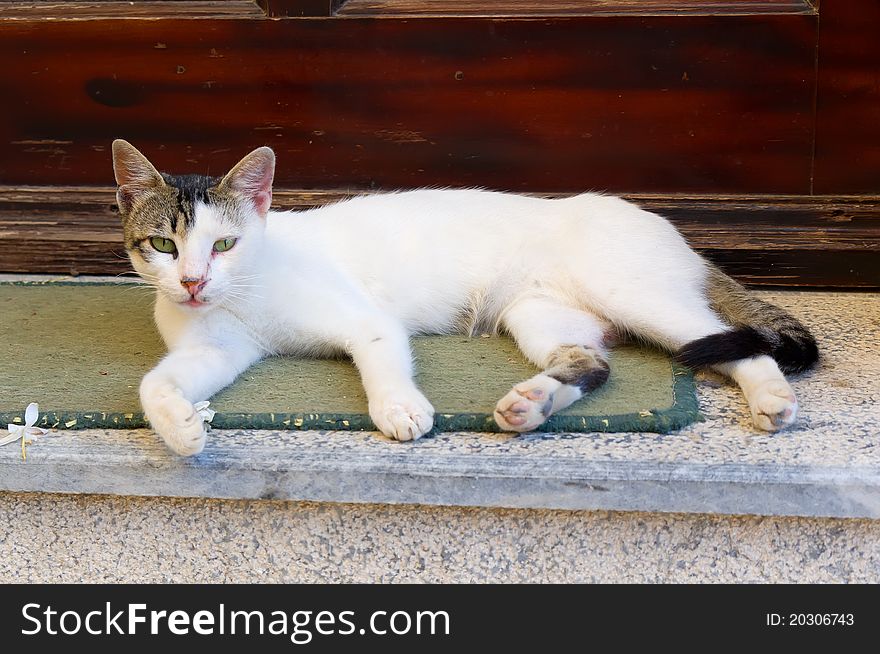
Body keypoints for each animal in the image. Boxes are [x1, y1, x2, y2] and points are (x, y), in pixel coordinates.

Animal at [110, 140, 820, 456]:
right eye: (165, 245)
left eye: (223, 244)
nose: (193, 282)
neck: (244, 294)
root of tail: (672, 230)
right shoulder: (217, 349)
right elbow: (156, 382)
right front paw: (180, 427)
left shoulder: (366, 319)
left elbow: (381, 360)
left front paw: (399, 409)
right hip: (536, 314)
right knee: (594, 362)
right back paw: (531, 403)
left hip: (635, 294)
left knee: (730, 342)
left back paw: (772, 399)